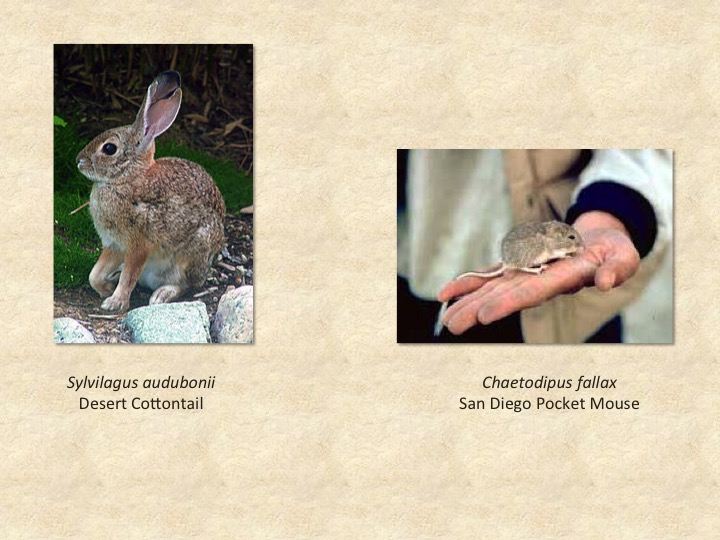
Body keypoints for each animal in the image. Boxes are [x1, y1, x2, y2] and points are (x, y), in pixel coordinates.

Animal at [76, 71, 226, 312]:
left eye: (109, 148)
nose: (79, 161)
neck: (125, 179)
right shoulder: (114, 245)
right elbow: (94, 274)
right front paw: (107, 290)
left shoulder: (138, 246)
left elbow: (129, 276)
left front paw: (115, 302)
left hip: (190, 255)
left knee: (185, 285)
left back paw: (161, 295)